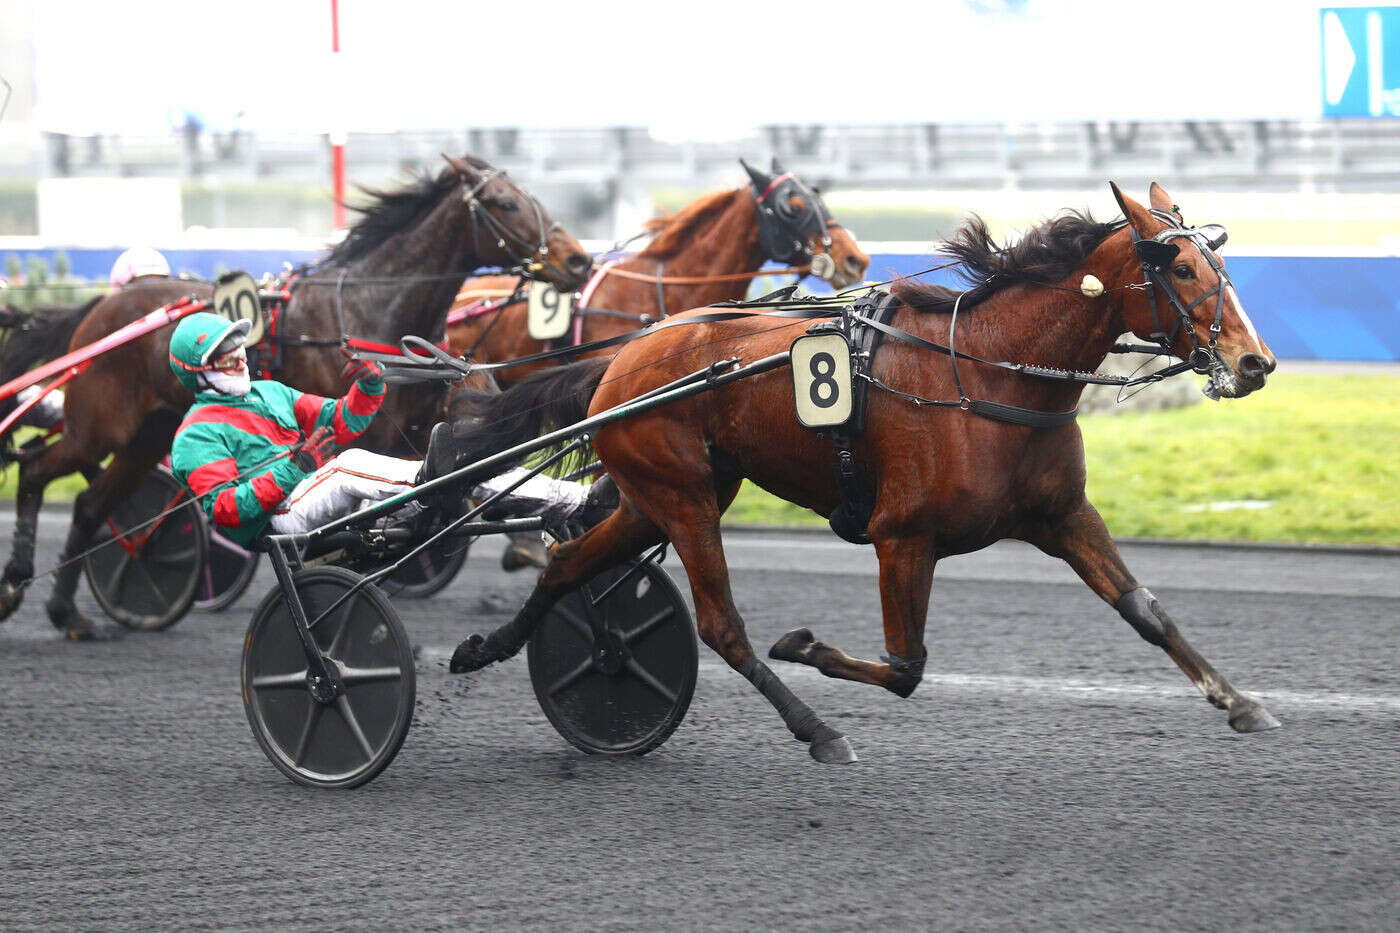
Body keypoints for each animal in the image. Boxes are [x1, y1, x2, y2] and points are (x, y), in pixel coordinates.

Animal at [0, 152, 590, 636]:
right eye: (507, 203)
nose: (579, 261)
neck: (368, 310)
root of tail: (102, 305)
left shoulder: (413, 429)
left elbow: (458, 470)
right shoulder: (369, 436)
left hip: (146, 437)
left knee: (88, 506)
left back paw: (68, 610)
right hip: (99, 426)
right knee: (35, 471)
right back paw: (19, 582)